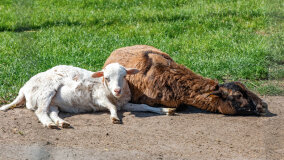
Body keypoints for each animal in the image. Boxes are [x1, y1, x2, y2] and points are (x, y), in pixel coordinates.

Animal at [0, 63, 175, 128]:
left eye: (124, 76)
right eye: (107, 78)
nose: (117, 90)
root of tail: (24, 88)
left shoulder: (124, 103)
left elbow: (144, 106)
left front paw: (165, 110)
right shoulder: (98, 97)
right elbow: (111, 107)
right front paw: (114, 117)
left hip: (53, 102)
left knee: (52, 111)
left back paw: (61, 122)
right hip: (45, 92)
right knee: (40, 111)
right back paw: (49, 124)